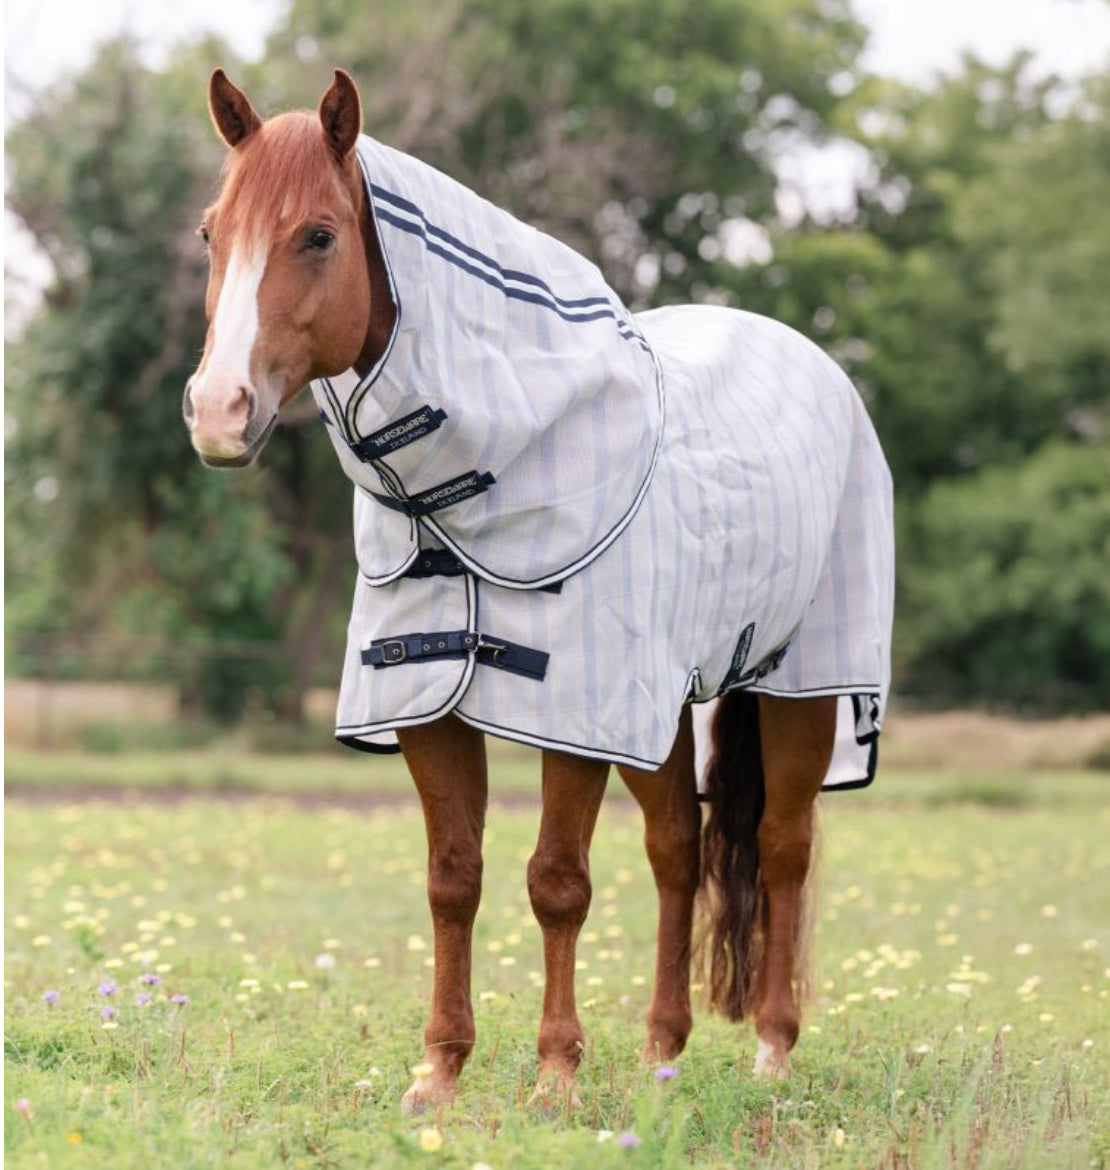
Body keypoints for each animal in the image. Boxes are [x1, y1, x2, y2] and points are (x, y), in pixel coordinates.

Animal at [184, 67, 891, 1112]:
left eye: (317, 235)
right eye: (210, 233)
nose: (219, 411)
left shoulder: (576, 711)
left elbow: (557, 881)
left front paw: (556, 1074)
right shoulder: (428, 702)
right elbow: (453, 877)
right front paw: (440, 1071)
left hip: (796, 687)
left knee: (781, 846)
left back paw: (772, 1049)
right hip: (660, 712)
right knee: (678, 848)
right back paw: (663, 1050)